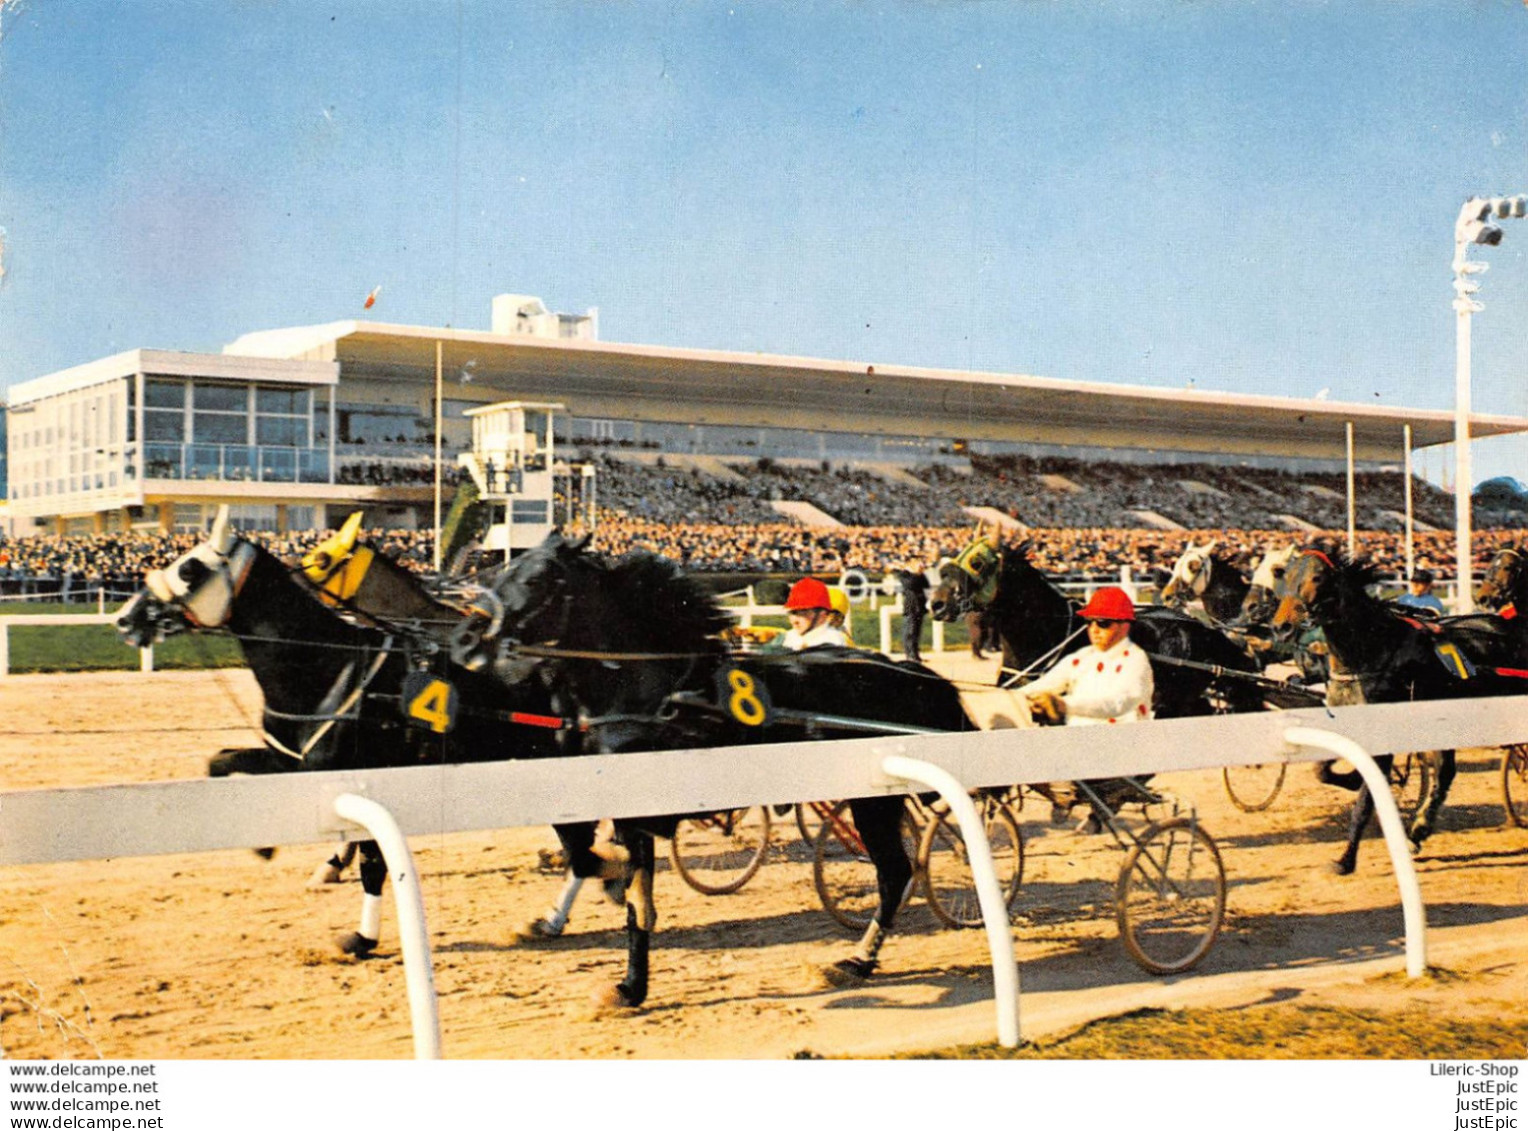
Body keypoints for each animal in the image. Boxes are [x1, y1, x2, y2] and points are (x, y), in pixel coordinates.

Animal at [111, 513, 568, 965]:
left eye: (189, 569)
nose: (126, 617)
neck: (328, 666)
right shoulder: (293, 760)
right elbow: (221, 761)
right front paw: (269, 848)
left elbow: (372, 858)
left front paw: (360, 930)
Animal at [452, 528, 971, 1008]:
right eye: (501, 569)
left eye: (538, 578)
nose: (469, 642)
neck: (654, 690)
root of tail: (910, 672)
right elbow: (597, 861)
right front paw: (610, 942)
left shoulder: (640, 812)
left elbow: (632, 895)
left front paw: (630, 982)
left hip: (873, 800)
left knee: (894, 872)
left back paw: (858, 958)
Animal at [1265, 547, 1528, 874]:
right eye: (1285, 575)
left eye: (1317, 577)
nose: (1282, 626)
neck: (1371, 652)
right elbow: (1322, 771)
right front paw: (1352, 778)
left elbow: (1366, 800)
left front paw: (1345, 859)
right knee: (1445, 773)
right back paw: (1418, 831)